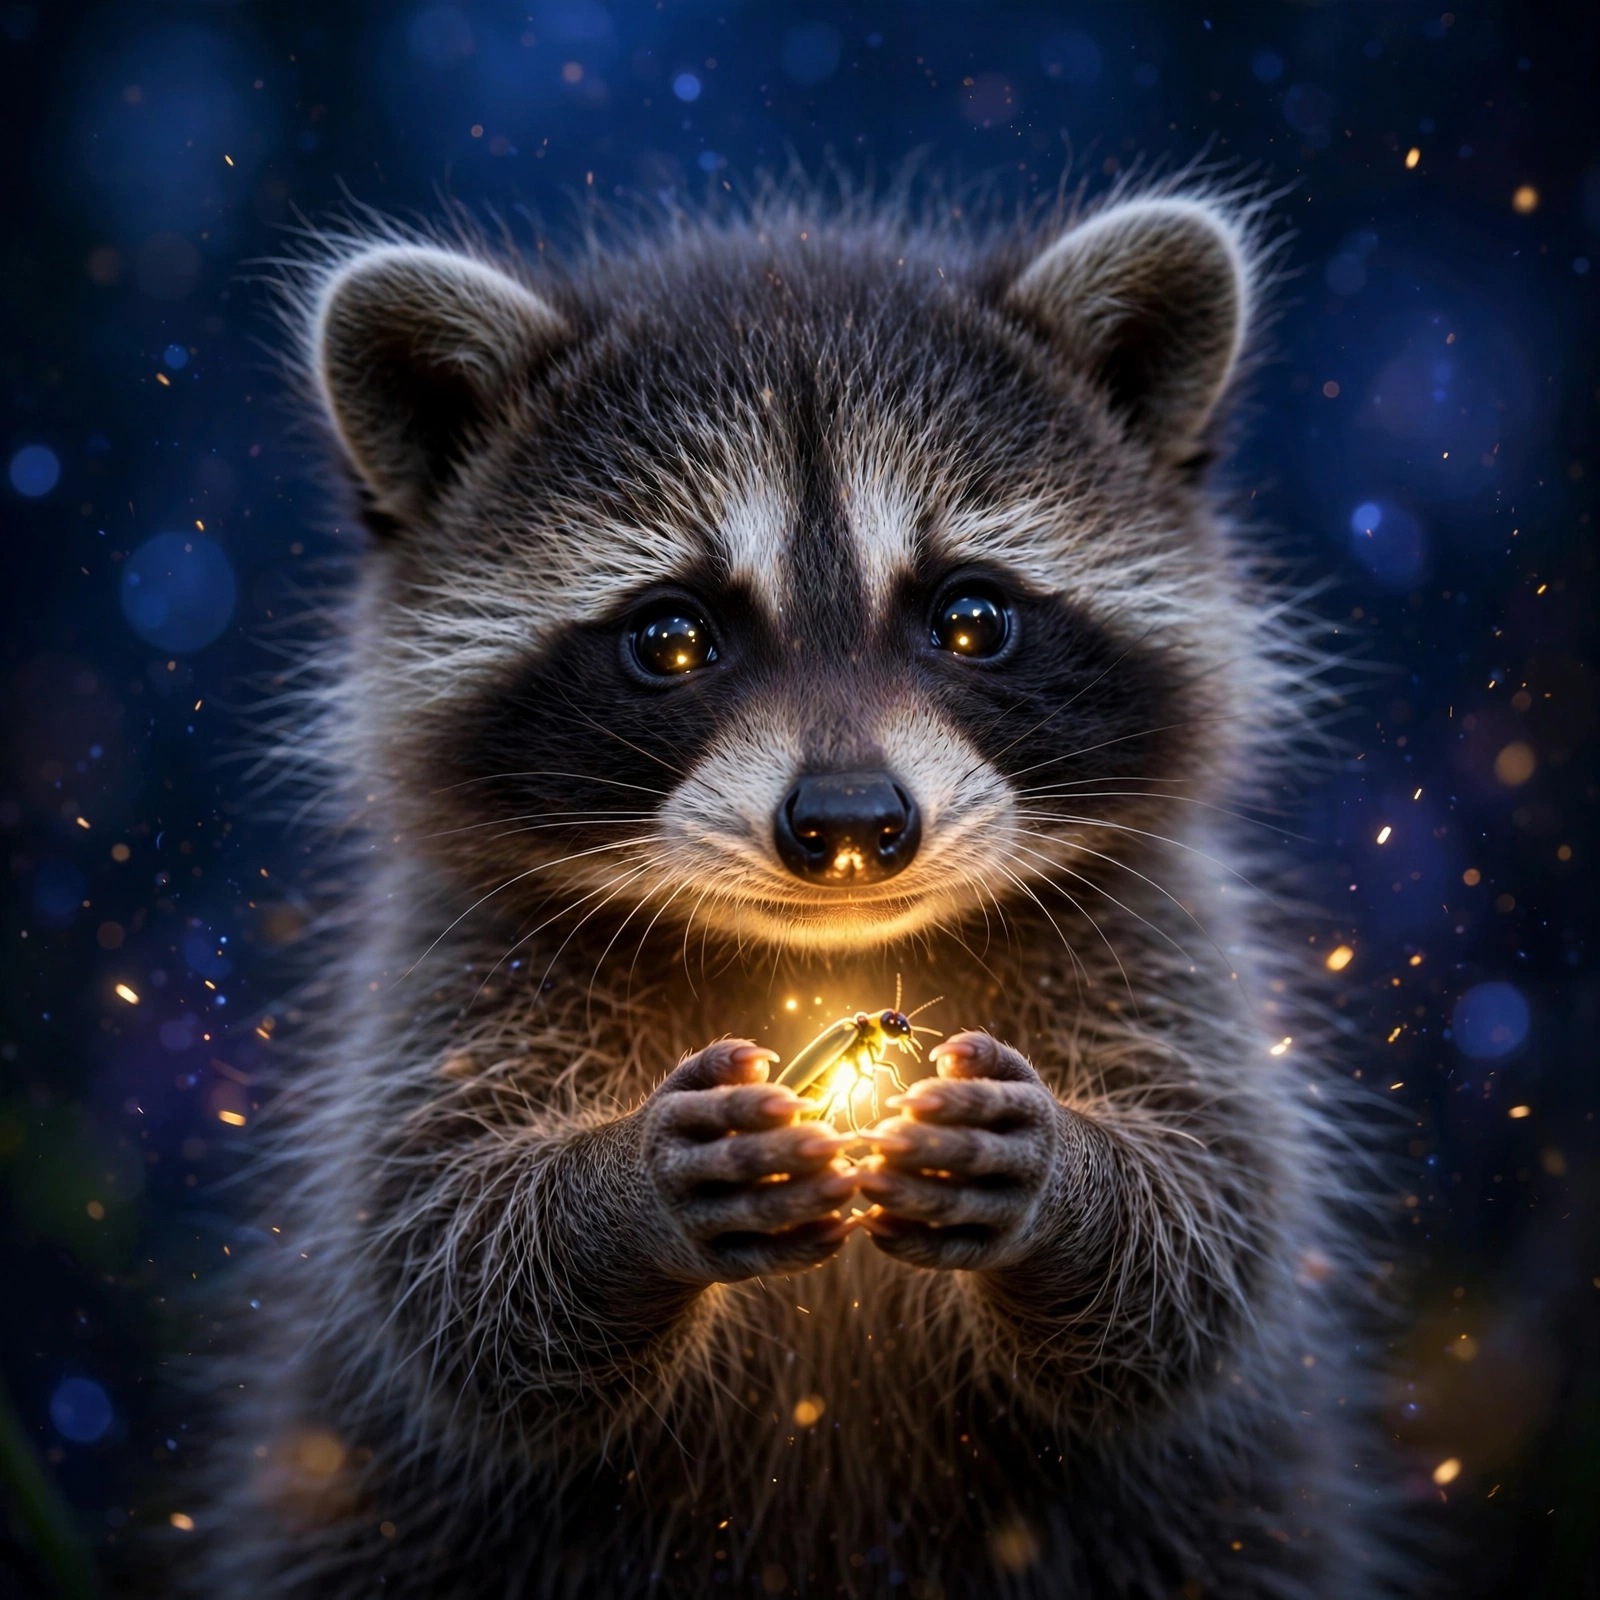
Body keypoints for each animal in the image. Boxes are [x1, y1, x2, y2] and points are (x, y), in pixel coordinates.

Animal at [199, 191, 1397, 1599]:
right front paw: (621, 1192)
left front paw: (1071, 1178)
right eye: (671, 637)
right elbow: (447, 1254)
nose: (849, 828)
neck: (819, 948)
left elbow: (1212, 1224)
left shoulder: (1156, 927)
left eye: (972, 616)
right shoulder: (457, 953)